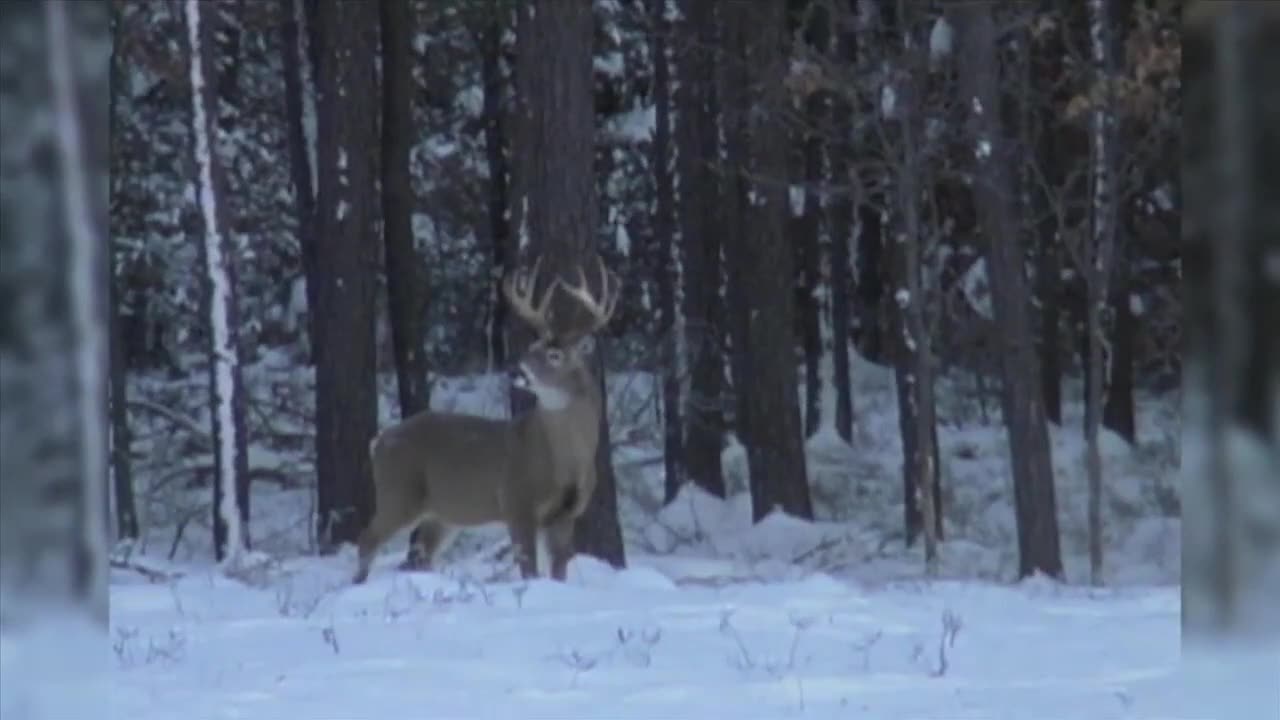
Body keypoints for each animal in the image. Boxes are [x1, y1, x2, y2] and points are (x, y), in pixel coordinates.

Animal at [355, 252, 619, 584]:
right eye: (531, 347)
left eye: (554, 355)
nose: (515, 370)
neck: (566, 462)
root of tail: (378, 442)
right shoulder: (516, 500)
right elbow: (529, 569)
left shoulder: (566, 514)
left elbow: (559, 570)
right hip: (399, 491)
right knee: (367, 540)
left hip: (442, 513)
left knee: (420, 554)